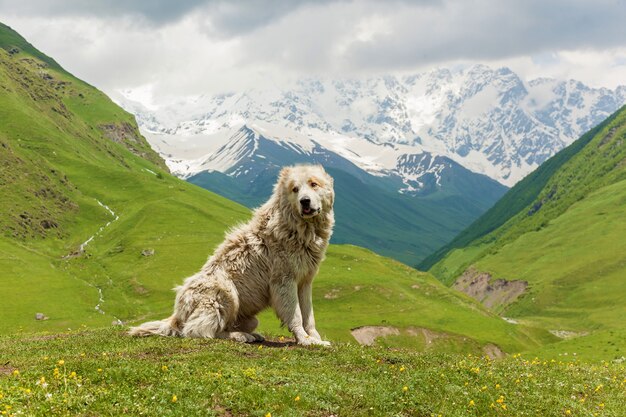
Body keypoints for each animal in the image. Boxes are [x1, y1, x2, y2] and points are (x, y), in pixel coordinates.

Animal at [129, 163, 334, 344]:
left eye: (313, 184)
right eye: (295, 189)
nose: (304, 201)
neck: (298, 228)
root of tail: (177, 315)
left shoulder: (305, 281)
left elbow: (308, 315)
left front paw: (315, 338)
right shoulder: (284, 280)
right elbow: (295, 315)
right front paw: (305, 340)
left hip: (248, 316)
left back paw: (249, 334)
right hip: (226, 291)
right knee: (198, 330)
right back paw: (240, 336)